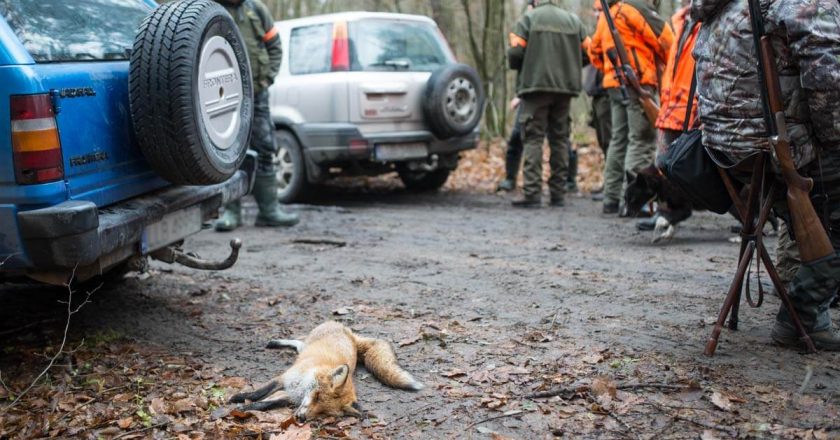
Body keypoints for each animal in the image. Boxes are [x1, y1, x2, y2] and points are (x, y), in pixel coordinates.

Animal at [230, 320, 424, 422]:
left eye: (323, 412)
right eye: (316, 396)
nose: (301, 419)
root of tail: (349, 333)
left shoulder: (290, 396)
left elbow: (265, 404)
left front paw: (245, 408)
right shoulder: (283, 378)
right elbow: (258, 393)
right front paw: (238, 399)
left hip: (305, 349)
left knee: (298, 344)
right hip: (307, 343)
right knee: (299, 341)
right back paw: (275, 342)